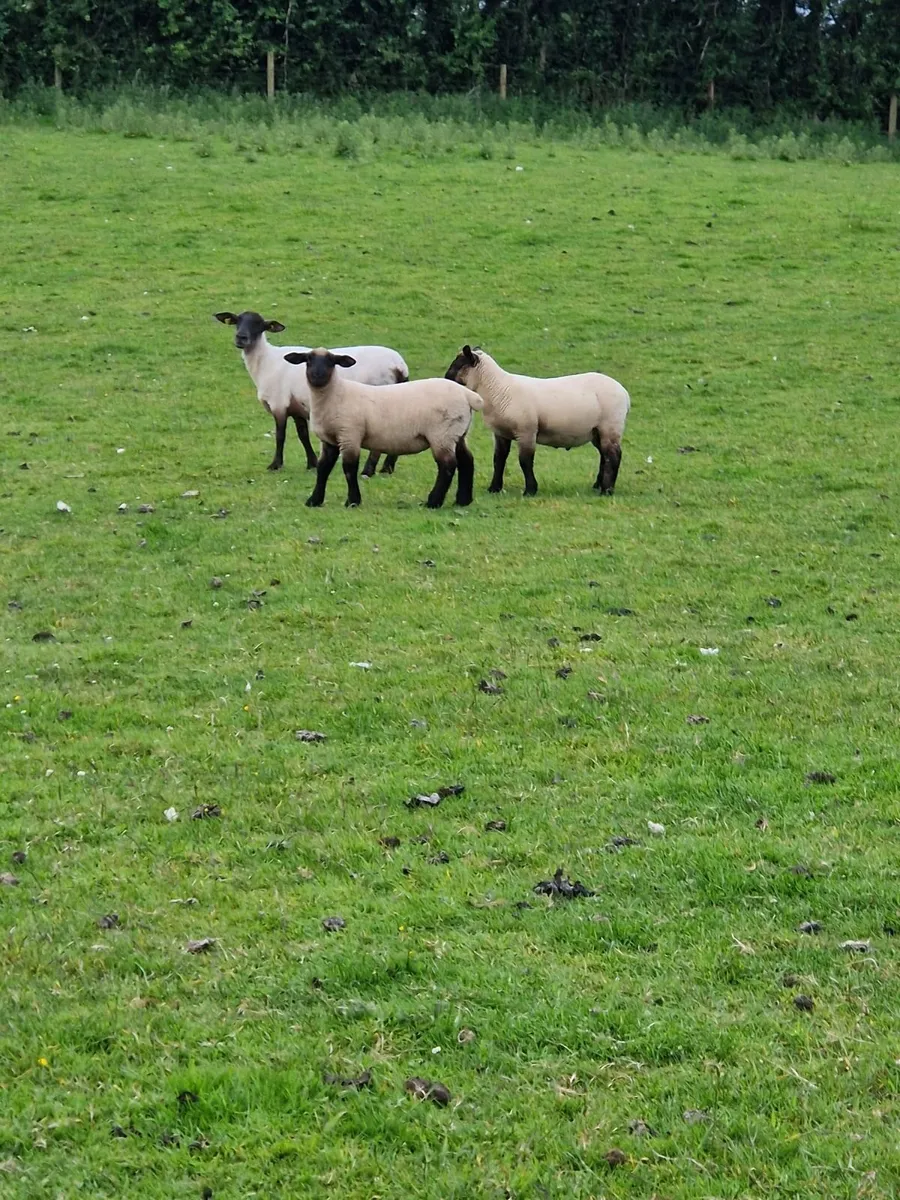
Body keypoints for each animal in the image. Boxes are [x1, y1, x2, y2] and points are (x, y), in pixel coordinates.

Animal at [214, 310, 409, 477]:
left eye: (259, 325)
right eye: (237, 321)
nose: (241, 337)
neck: (265, 362)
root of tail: (399, 365)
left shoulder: (279, 404)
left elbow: (280, 435)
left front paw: (275, 465)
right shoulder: (296, 408)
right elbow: (303, 435)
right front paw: (312, 463)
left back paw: (369, 470)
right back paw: (387, 468)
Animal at [282, 349, 482, 509]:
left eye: (331, 361)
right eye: (308, 360)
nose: (317, 375)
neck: (335, 394)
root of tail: (467, 394)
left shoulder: (350, 435)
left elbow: (349, 468)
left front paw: (353, 501)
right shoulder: (329, 440)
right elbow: (323, 469)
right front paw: (314, 500)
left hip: (442, 434)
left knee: (448, 466)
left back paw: (433, 502)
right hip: (458, 433)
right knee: (467, 460)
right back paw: (463, 501)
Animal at [445, 346, 630, 497]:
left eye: (456, 365)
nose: (444, 379)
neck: (497, 389)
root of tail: (624, 393)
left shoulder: (526, 430)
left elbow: (525, 461)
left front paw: (530, 490)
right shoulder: (500, 433)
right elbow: (498, 460)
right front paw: (494, 488)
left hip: (610, 425)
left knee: (613, 455)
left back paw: (607, 491)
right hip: (596, 431)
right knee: (604, 455)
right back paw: (598, 485)